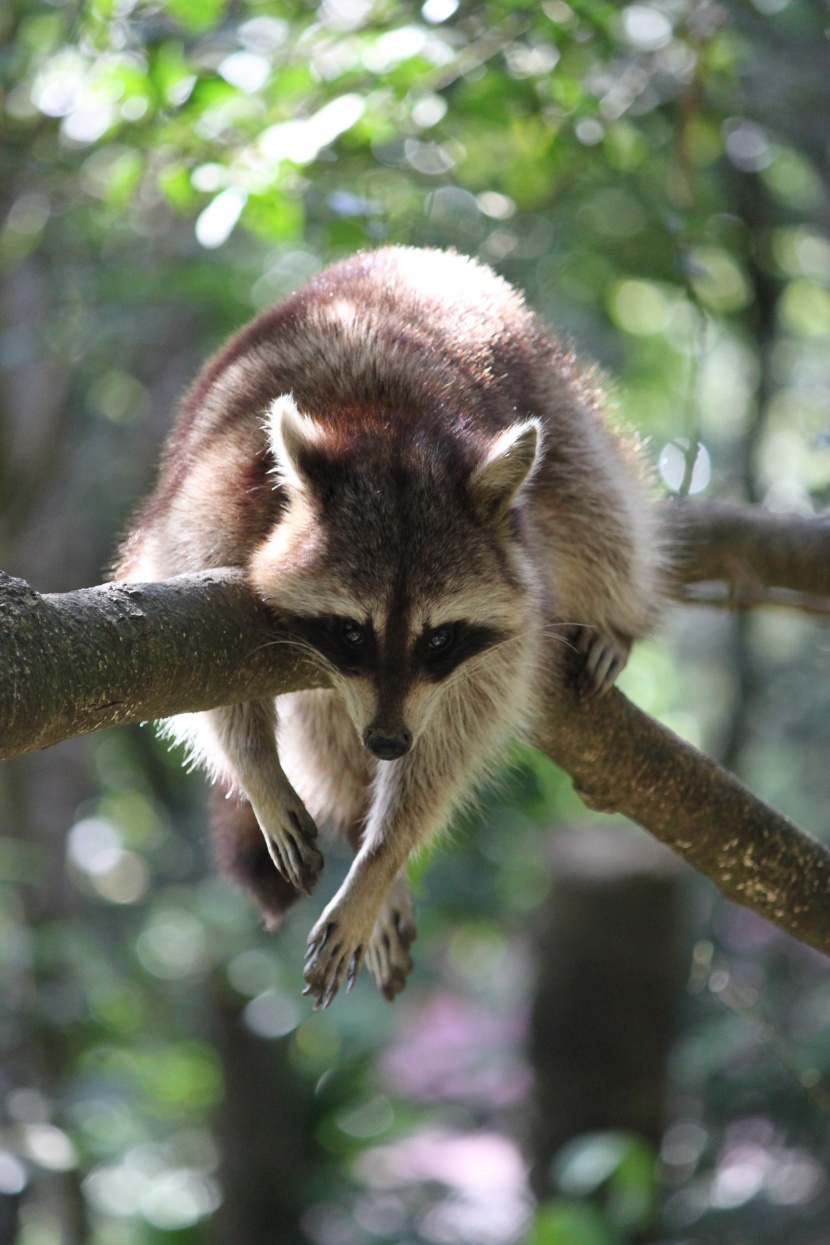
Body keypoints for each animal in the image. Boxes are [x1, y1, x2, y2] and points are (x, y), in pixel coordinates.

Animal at [116, 245, 666, 1010]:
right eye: (352, 633)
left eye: (439, 638)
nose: (386, 741)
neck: (386, 430)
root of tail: (413, 253)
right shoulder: (210, 501)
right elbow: (194, 670)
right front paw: (259, 768)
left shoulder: (504, 618)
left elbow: (460, 733)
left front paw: (382, 855)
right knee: (323, 727)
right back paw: (353, 806)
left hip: (554, 392)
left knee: (596, 502)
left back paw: (615, 612)